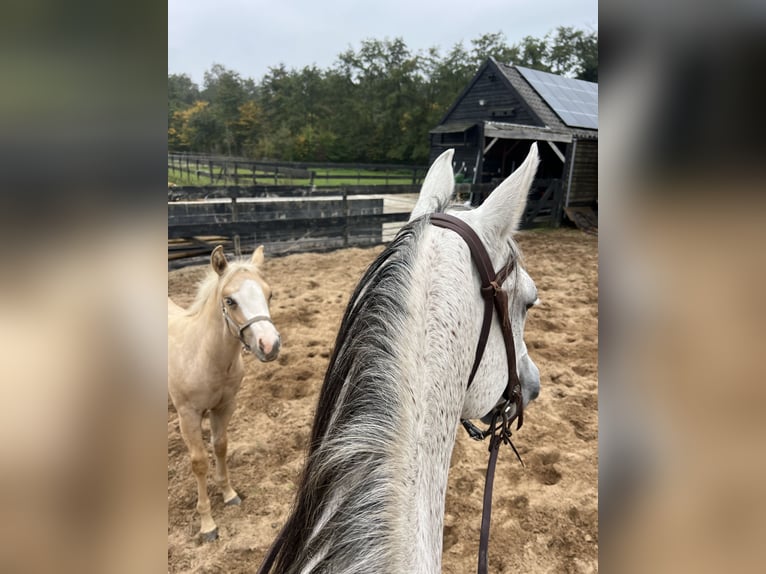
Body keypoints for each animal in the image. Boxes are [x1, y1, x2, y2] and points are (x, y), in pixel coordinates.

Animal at [168, 245, 281, 541]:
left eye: (269, 294)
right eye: (230, 300)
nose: (270, 345)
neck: (204, 356)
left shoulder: (225, 405)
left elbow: (220, 446)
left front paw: (229, 494)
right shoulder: (188, 415)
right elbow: (199, 462)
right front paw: (207, 524)